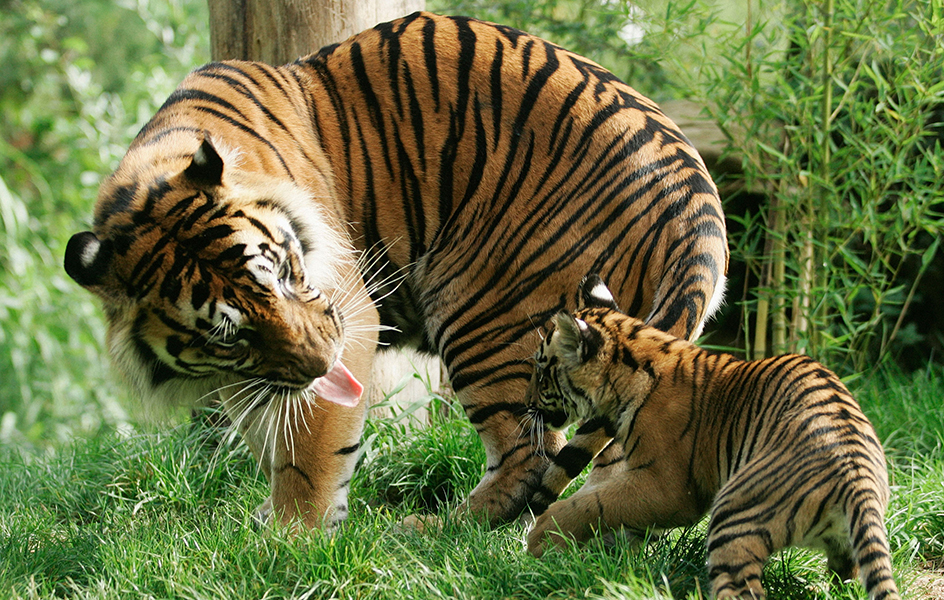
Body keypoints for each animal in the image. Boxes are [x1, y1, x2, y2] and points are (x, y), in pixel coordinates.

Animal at [64, 11, 732, 528]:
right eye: (227, 334)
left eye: (280, 274)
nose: (322, 364)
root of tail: (694, 197)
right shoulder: (254, 371)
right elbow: (268, 426)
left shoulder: (347, 311)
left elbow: (309, 447)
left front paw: (291, 539)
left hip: (486, 313)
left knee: (532, 452)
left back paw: (436, 529)